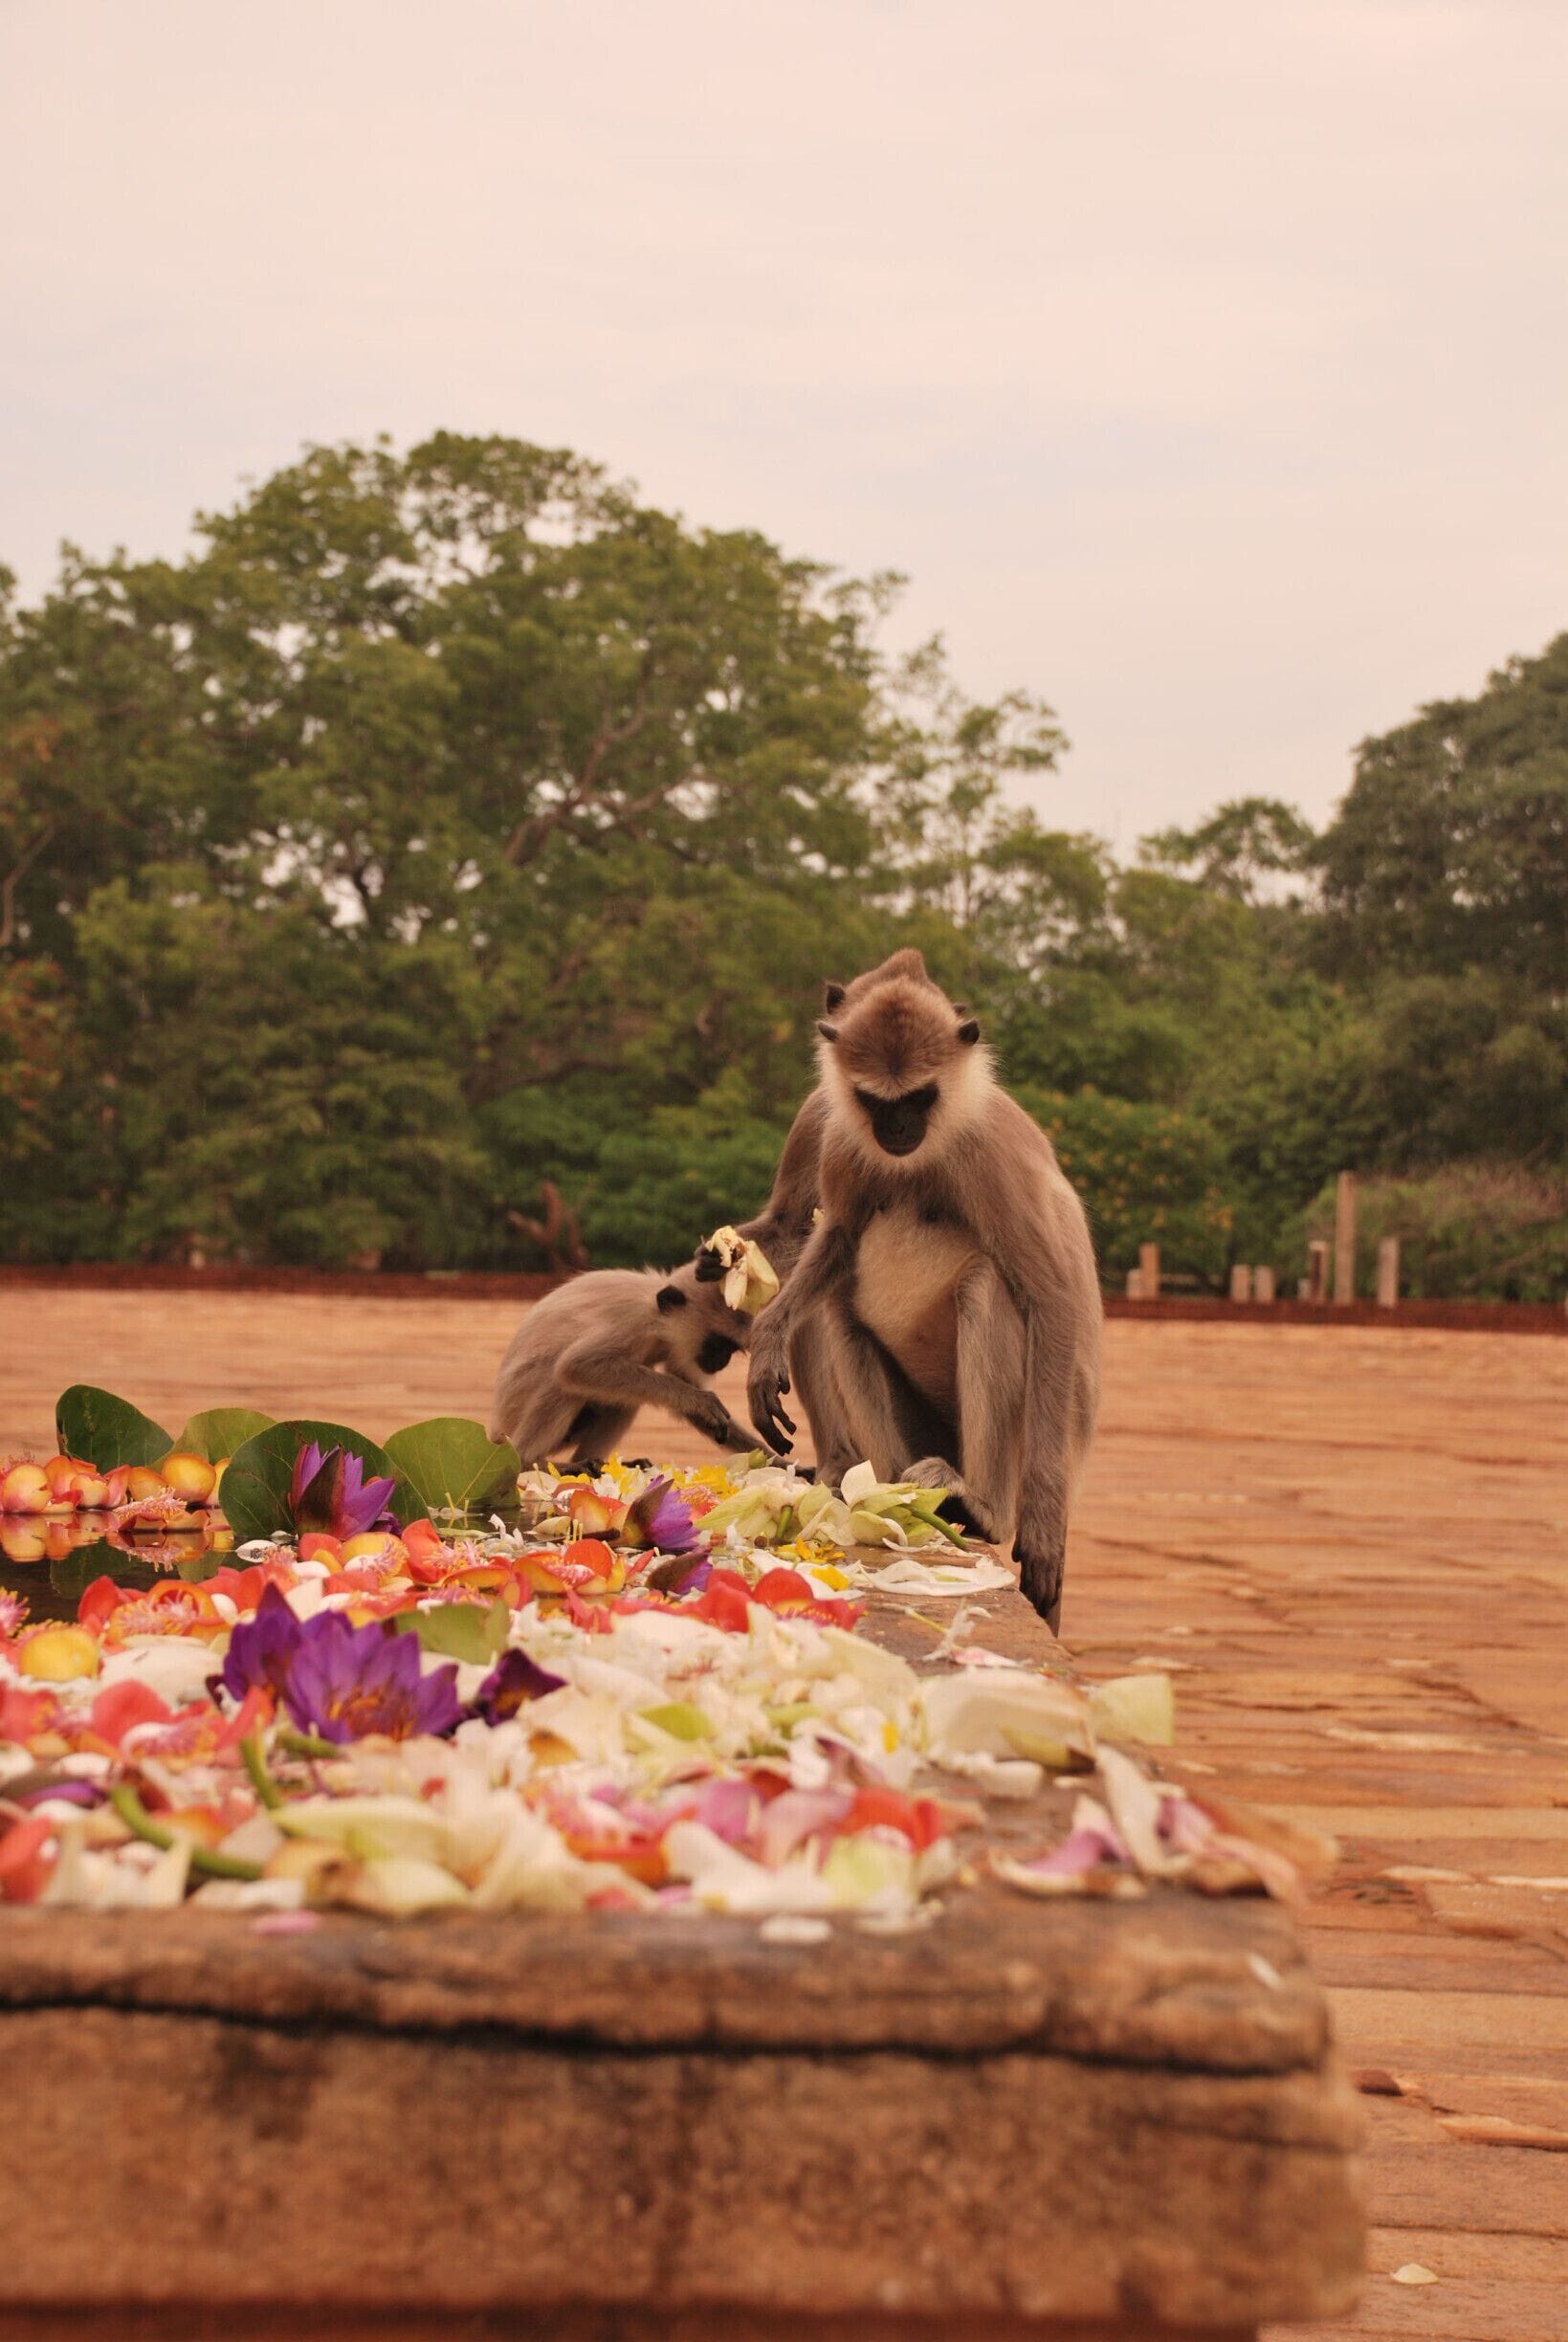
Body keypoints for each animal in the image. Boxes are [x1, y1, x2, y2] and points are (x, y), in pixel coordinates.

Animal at [487, 1261, 764, 1467]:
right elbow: (575, 1366)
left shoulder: (677, 1347)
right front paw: (698, 1399)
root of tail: (496, 1430)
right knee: (561, 1383)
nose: (722, 1361)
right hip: (514, 1414)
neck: (657, 1320)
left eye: (730, 1349)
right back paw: (532, 1461)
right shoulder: (633, 1323)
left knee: (621, 1400)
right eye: (716, 1345)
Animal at [743, 950, 1102, 1632]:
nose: (898, 1126)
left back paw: (979, 1506)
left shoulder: (990, 1153)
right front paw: (764, 1339)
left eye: (920, 1097)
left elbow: (1051, 1300)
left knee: (987, 1288)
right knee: (839, 1305)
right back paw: (887, 1492)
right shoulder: (844, 1136)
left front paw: (1044, 1527)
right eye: (875, 1100)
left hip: (1028, 1435)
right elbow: (835, 1236)